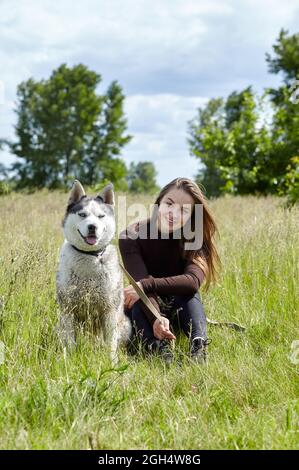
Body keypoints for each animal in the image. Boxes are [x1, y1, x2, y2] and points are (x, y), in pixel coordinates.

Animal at [56, 180, 131, 364]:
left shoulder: (110, 310)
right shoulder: (68, 309)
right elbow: (70, 342)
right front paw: (70, 359)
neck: (90, 256)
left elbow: (110, 344)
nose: (92, 227)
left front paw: (112, 363)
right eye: (82, 215)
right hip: (59, 324)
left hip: (125, 324)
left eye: (101, 216)